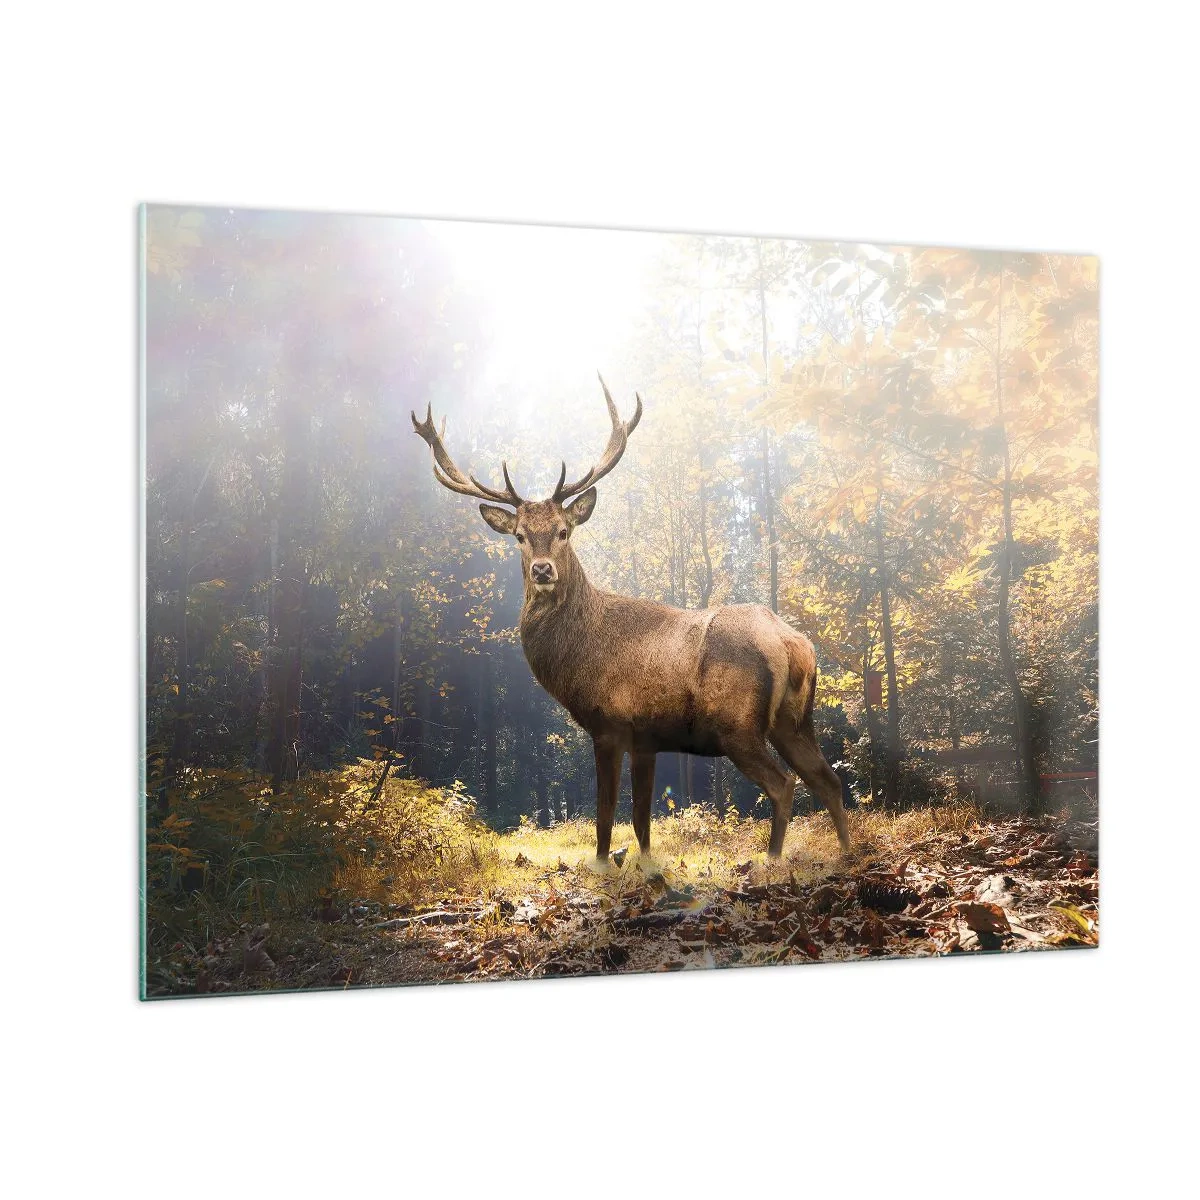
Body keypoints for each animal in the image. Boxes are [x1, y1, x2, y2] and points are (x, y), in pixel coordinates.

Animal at [411, 377, 852, 863]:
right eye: (520, 536)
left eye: (564, 531)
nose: (542, 570)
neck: (578, 657)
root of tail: (794, 643)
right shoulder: (647, 737)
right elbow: (641, 818)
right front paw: (645, 865)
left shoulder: (609, 724)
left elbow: (605, 815)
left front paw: (604, 865)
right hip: (795, 720)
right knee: (830, 780)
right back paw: (847, 853)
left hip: (737, 723)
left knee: (784, 784)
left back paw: (771, 860)